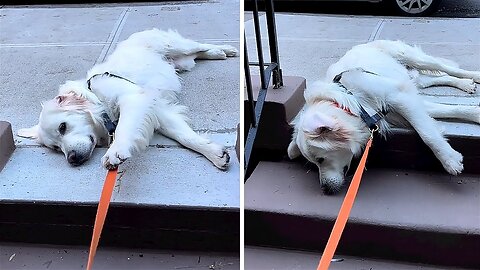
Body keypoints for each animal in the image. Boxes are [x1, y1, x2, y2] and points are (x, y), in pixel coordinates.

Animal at [17, 28, 238, 170]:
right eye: (55, 148)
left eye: (62, 127)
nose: (71, 159)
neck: (97, 98)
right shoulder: (158, 109)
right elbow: (184, 136)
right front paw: (215, 154)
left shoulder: (134, 98)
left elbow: (124, 128)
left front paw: (115, 151)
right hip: (183, 62)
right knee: (199, 54)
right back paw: (217, 53)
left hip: (176, 46)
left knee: (198, 45)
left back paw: (226, 49)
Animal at [286, 40, 478, 194]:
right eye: (314, 163)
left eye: (320, 159)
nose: (325, 190)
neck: (353, 103)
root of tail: (364, 44)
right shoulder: (405, 102)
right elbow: (447, 111)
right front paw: (476, 114)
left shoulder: (398, 97)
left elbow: (427, 134)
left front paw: (450, 160)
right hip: (412, 79)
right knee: (434, 78)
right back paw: (465, 84)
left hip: (411, 57)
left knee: (445, 68)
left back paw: (474, 76)